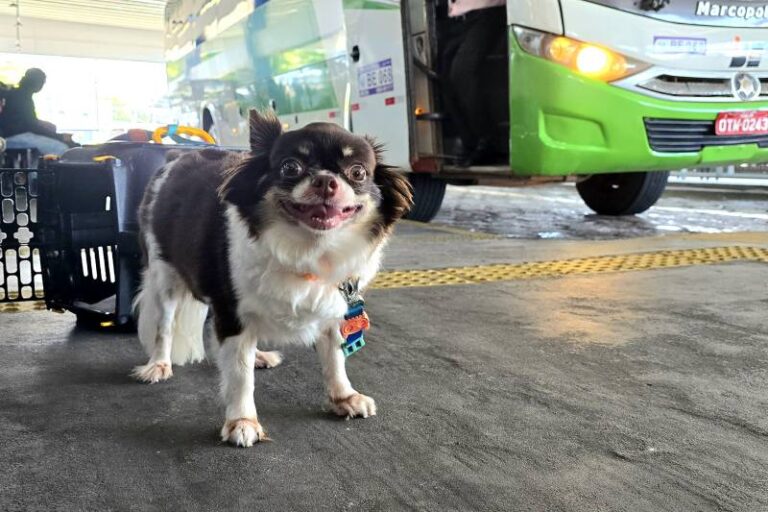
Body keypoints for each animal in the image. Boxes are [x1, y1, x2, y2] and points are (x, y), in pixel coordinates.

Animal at [130, 110, 414, 446]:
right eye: (290, 167)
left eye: (358, 172)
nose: (325, 180)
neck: (309, 252)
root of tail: (175, 157)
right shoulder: (231, 310)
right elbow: (239, 375)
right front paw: (242, 421)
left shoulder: (334, 310)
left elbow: (334, 357)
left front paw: (344, 396)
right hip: (166, 279)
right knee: (165, 327)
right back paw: (158, 364)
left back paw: (258, 355)